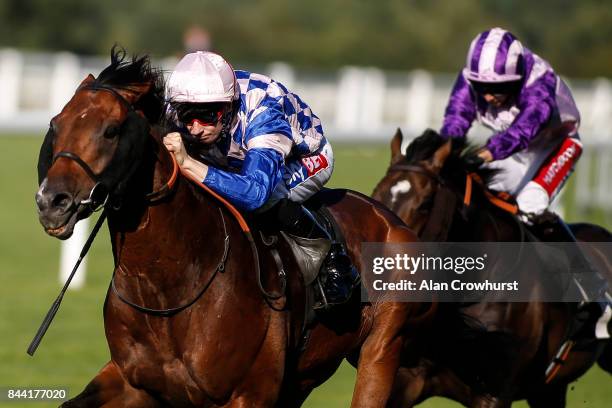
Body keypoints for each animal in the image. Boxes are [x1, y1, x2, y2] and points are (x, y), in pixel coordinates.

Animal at [34, 49, 436, 406]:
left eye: (112, 130)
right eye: (56, 124)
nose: (52, 202)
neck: (168, 291)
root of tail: (391, 219)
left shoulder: (248, 394)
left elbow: (259, 188)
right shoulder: (133, 383)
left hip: (380, 351)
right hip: (303, 377)